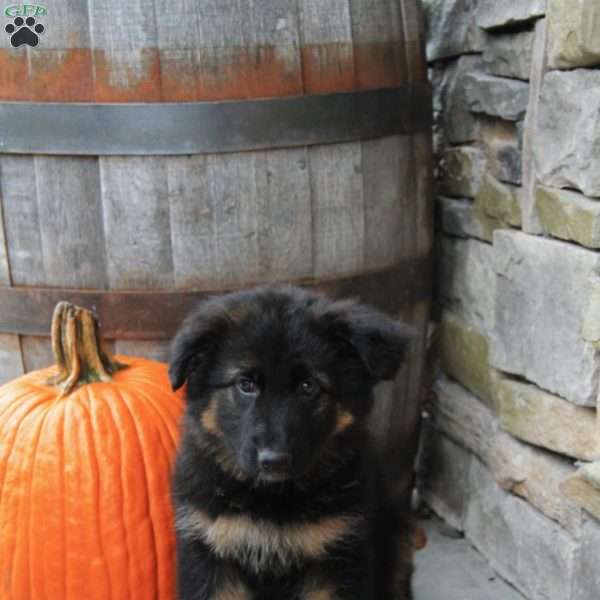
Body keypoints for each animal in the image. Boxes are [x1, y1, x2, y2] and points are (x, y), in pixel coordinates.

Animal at [169, 286, 418, 600]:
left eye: (308, 386)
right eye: (245, 384)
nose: (273, 461)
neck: (271, 498)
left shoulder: (338, 556)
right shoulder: (209, 554)